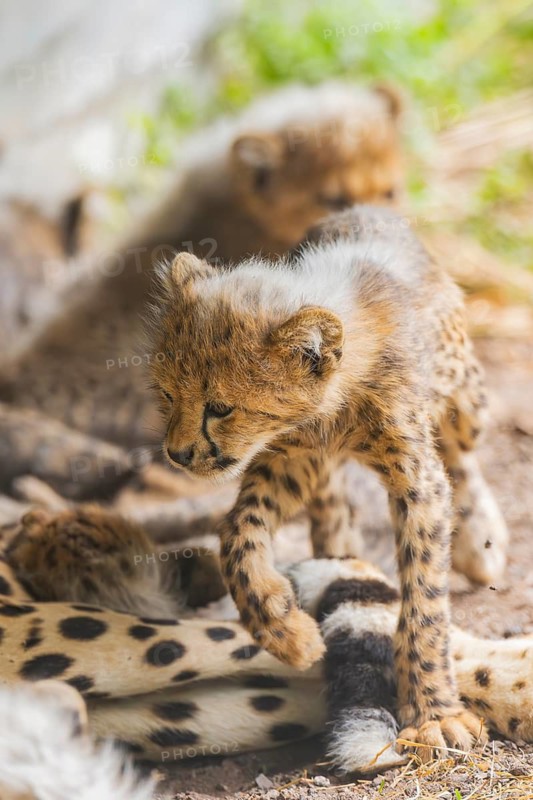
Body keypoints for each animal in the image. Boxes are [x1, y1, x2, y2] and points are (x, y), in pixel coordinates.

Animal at [147, 203, 509, 758]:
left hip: (466, 397)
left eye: (220, 408)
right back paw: (338, 555)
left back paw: (481, 543)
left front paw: (434, 713)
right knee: (331, 507)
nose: (179, 454)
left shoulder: (416, 479)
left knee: (463, 453)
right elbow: (236, 535)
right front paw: (285, 632)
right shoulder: (291, 457)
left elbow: (424, 600)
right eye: (167, 395)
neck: (335, 403)